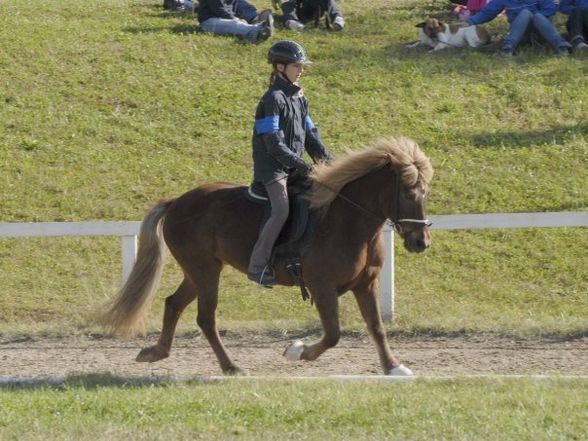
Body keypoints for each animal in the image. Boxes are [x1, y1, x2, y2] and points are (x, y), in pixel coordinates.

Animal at [101, 137, 434, 374]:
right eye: (407, 192)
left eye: (425, 192)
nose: (421, 242)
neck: (346, 221)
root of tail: (176, 202)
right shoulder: (322, 288)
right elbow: (333, 334)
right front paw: (297, 351)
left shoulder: (367, 285)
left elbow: (376, 328)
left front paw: (393, 367)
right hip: (204, 271)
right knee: (205, 317)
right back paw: (230, 366)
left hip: (198, 271)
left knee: (173, 304)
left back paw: (156, 353)